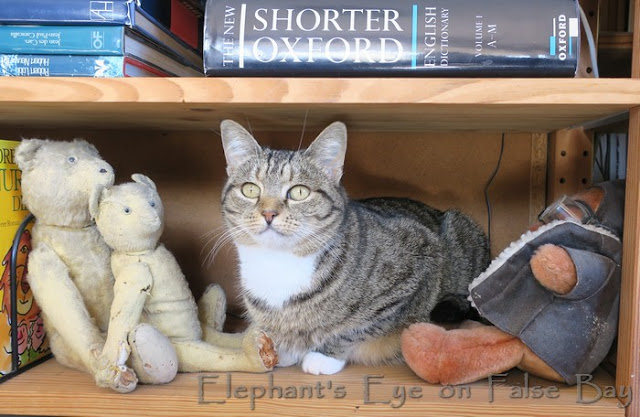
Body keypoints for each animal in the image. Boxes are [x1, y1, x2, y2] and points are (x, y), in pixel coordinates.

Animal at [219, 119, 490, 374]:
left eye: (299, 192)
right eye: (250, 189)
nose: (268, 213)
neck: (278, 262)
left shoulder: (421, 259)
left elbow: (358, 327)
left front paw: (323, 355)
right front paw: (282, 348)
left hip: (460, 230)